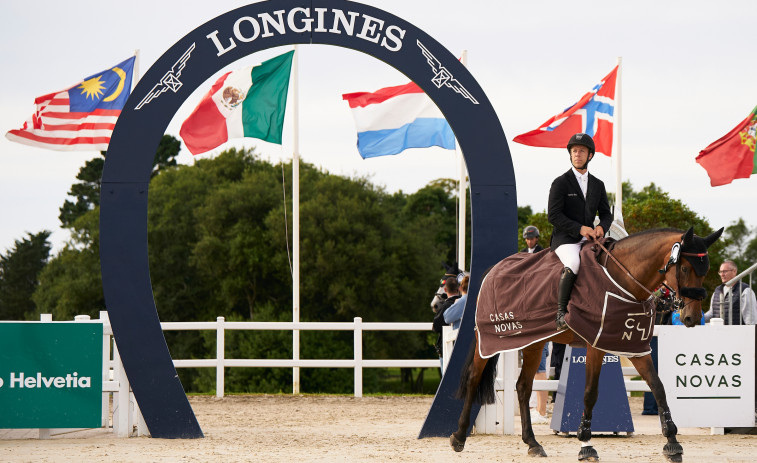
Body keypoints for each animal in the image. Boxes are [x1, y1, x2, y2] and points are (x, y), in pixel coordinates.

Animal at [448, 228, 720, 463]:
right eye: (684, 268)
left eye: (705, 270)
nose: (692, 318)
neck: (622, 280)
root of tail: (493, 269)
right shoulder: (595, 346)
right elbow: (590, 393)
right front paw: (586, 445)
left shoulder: (634, 346)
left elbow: (658, 387)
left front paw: (673, 444)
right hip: (490, 340)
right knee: (474, 378)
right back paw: (458, 437)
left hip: (534, 343)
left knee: (523, 387)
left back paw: (533, 443)